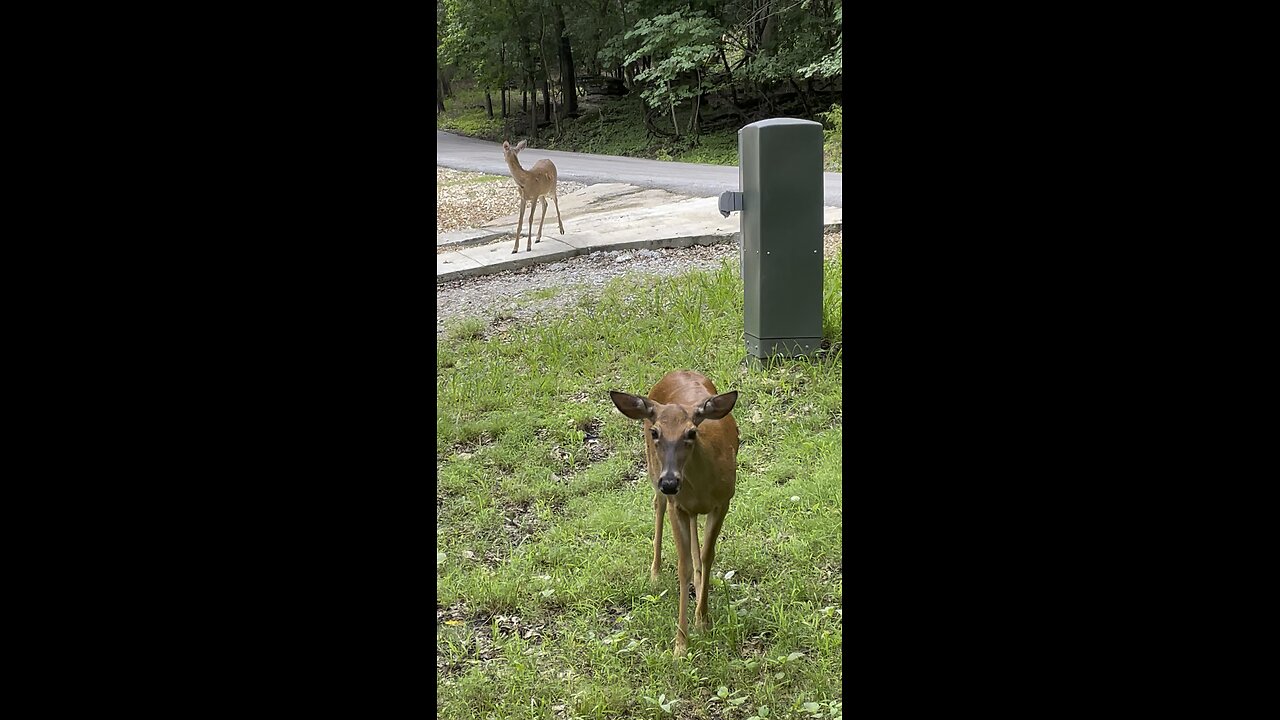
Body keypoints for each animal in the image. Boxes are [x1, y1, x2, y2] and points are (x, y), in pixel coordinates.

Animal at [610, 370, 739, 658]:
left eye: (691, 432)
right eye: (656, 431)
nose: (670, 482)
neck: (702, 485)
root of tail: (677, 372)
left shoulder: (724, 501)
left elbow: (707, 557)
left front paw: (702, 620)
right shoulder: (675, 505)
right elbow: (683, 567)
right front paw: (681, 644)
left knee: (695, 535)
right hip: (653, 471)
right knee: (657, 505)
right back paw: (655, 574)